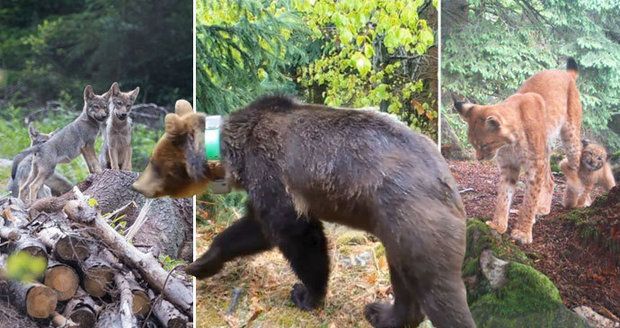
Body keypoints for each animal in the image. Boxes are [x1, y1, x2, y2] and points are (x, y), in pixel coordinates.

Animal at [133, 96, 474, 328]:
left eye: (153, 162)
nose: (137, 186)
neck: (229, 155)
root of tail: (449, 184)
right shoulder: (262, 185)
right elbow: (252, 229)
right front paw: (200, 264)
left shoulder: (271, 172)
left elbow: (295, 233)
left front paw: (306, 294)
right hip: (397, 233)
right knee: (404, 280)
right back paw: (381, 312)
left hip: (414, 220)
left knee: (438, 289)